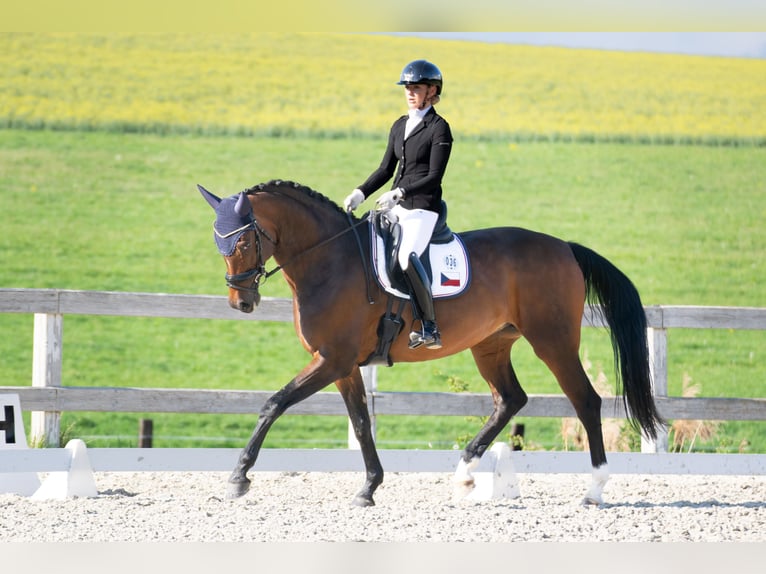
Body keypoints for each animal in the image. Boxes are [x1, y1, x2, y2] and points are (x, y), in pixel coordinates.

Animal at [198, 179, 664, 507]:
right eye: (217, 240)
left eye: (243, 240)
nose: (242, 302)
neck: (330, 260)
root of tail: (564, 247)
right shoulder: (341, 365)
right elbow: (361, 423)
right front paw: (369, 487)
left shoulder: (331, 360)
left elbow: (273, 404)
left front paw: (238, 479)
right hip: (491, 344)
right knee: (509, 400)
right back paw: (464, 473)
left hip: (553, 340)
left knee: (585, 400)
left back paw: (594, 489)